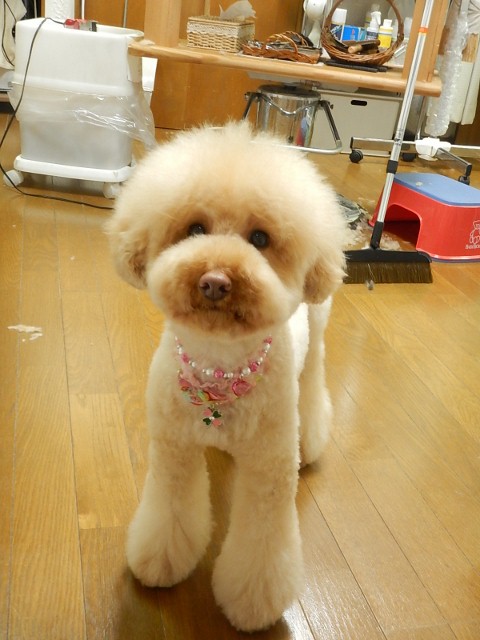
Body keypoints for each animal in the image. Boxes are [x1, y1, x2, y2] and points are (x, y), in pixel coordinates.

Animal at [106, 122, 346, 632]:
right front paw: (160, 562)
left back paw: (312, 437)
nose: (215, 280)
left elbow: (261, 549)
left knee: (314, 381)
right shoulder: (173, 453)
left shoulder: (270, 471)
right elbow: (170, 515)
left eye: (260, 238)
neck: (219, 371)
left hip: (317, 331)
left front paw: (252, 604)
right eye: (195, 228)